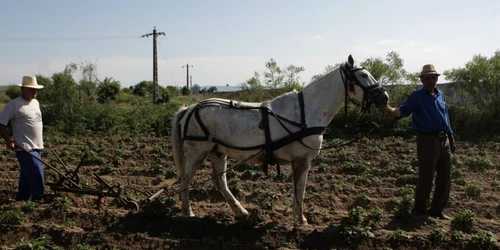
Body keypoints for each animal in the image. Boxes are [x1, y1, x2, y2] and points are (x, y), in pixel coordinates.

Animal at [170, 54, 388, 225]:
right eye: (363, 75)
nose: (384, 97)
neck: (306, 111)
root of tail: (189, 109)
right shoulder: (302, 159)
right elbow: (300, 190)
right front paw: (301, 220)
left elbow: (297, 190)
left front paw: (296, 217)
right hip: (197, 151)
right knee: (185, 178)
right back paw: (188, 212)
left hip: (217, 152)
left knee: (220, 182)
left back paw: (241, 212)